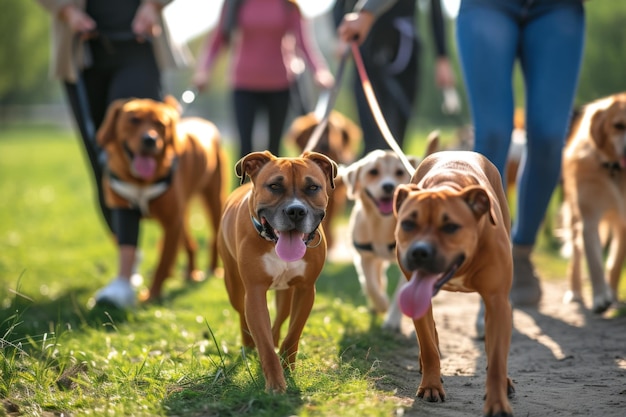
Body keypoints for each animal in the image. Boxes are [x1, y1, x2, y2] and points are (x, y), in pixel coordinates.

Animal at [96, 96, 225, 306]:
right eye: (134, 120)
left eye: (160, 124)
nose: (150, 139)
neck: (141, 182)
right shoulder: (125, 212)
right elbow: (130, 246)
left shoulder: (172, 222)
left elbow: (162, 263)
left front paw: (152, 296)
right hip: (183, 215)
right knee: (190, 245)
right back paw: (190, 273)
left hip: (214, 200)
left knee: (213, 238)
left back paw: (213, 270)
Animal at [216, 150, 336, 394]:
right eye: (274, 186)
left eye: (312, 187)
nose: (296, 210)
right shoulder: (254, 292)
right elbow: (264, 342)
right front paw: (275, 384)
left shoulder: (306, 290)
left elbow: (293, 333)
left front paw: (287, 366)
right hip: (234, 286)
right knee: (243, 315)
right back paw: (249, 345)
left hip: (285, 292)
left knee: (281, 317)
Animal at [394, 150, 512, 416]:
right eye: (408, 223)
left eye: (450, 227)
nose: (419, 252)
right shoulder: (419, 298)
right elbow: (428, 346)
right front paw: (431, 386)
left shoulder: (497, 301)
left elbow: (497, 358)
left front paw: (497, 402)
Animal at [560, 92, 624, 312]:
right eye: (618, 125)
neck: (614, 171)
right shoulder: (588, 219)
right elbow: (595, 262)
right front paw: (600, 298)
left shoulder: (623, 225)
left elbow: (614, 264)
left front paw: (612, 296)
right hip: (573, 216)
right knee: (576, 257)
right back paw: (575, 292)